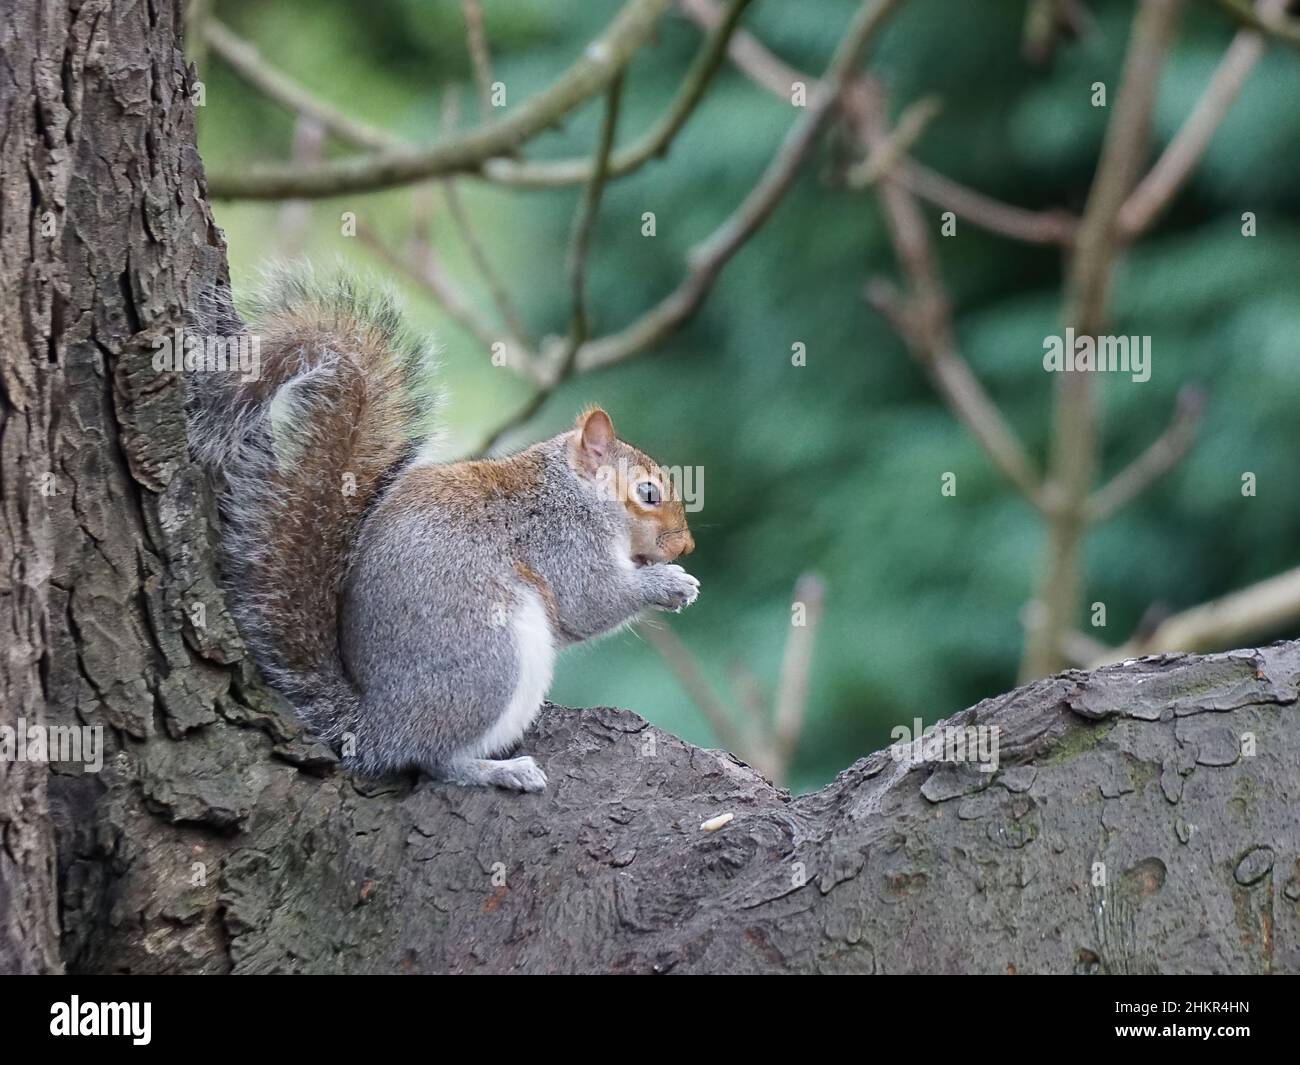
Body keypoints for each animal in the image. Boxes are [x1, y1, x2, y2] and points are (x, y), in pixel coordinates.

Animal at [189, 269, 699, 792]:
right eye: (648, 494)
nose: (687, 545)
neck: (571, 491)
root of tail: (379, 726)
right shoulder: (560, 542)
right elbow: (591, 601)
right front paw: (670, 584)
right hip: (491, 663)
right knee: (436, 760)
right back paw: (499, 770)